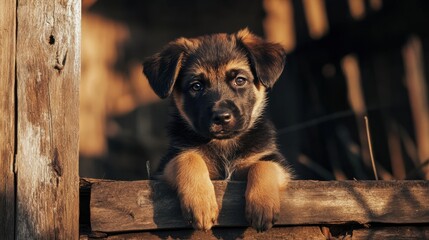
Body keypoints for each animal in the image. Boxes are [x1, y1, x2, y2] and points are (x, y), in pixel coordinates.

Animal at [144, 29, 290, 232]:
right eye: (196, 86)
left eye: (240, 80)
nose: (222, 117)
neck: (224, 144)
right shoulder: (165, 165)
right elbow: (189, 158)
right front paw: (201, 203)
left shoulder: (277, 162)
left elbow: (263, 165)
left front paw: (262, 204)